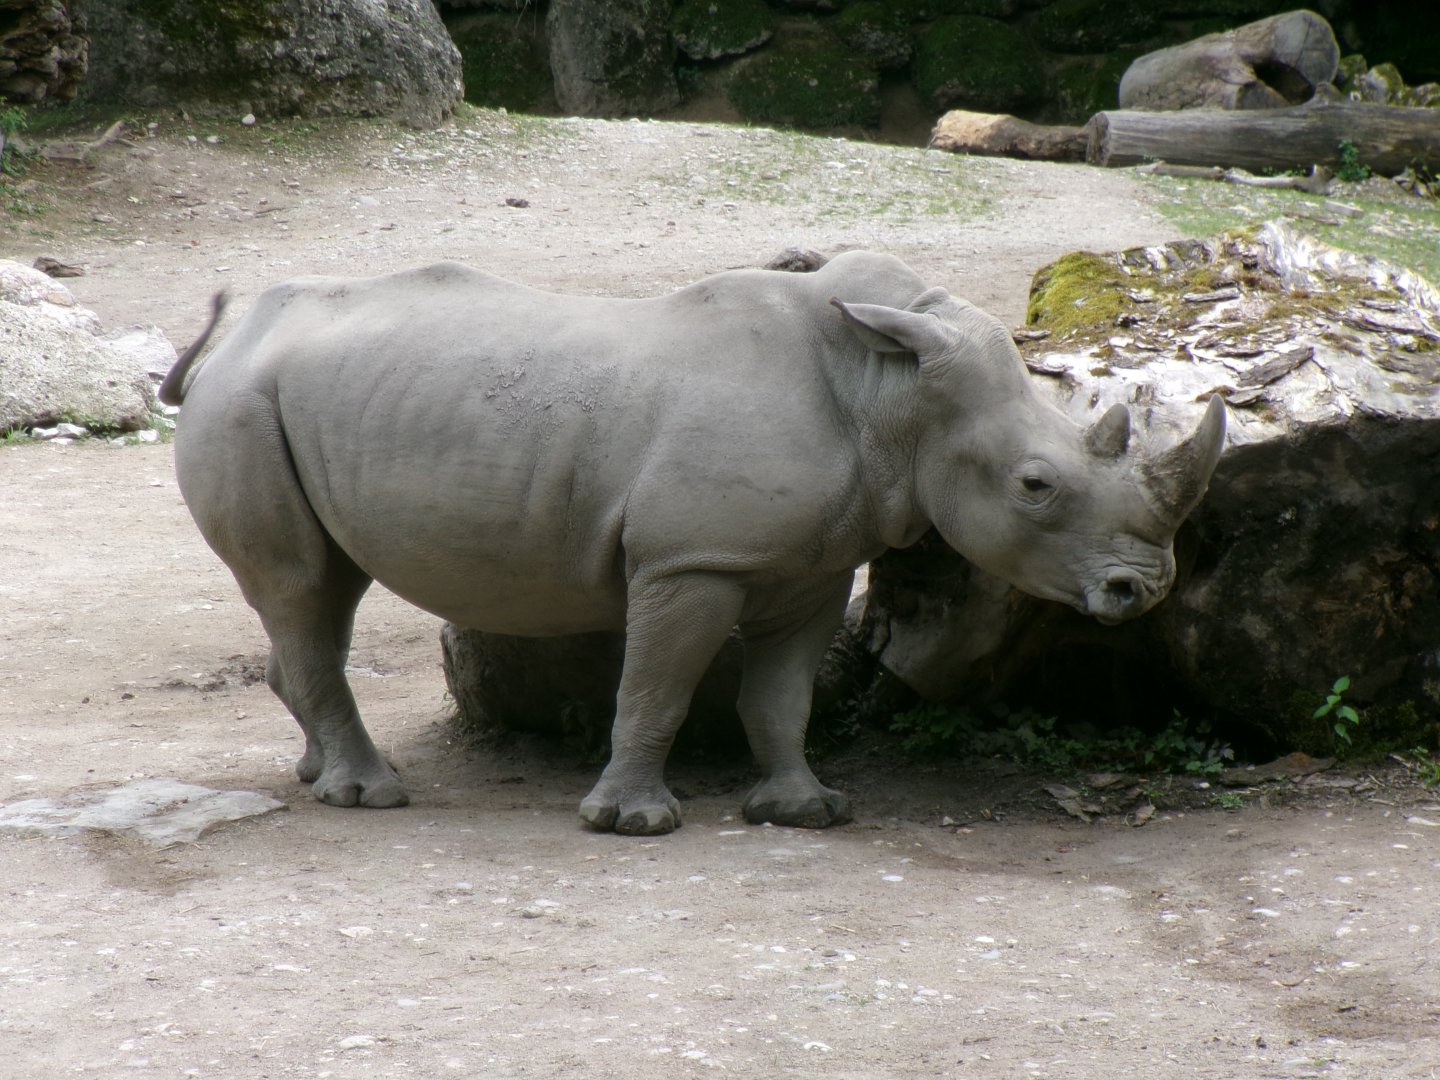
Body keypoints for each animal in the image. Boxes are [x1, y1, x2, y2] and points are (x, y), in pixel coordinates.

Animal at [159, 251, 1225, 835]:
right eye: (1036, 486)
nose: (1142, 591)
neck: (890, 395)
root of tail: (228, 336)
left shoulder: (813, 563)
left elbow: (783, 697)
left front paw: (806, 811)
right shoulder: (693, 560)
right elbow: (659, 683)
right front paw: (633, 823)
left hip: (298, 404)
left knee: (321, 594)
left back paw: (318, 776)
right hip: (245, 407)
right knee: (302, 588)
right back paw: (370, 796)